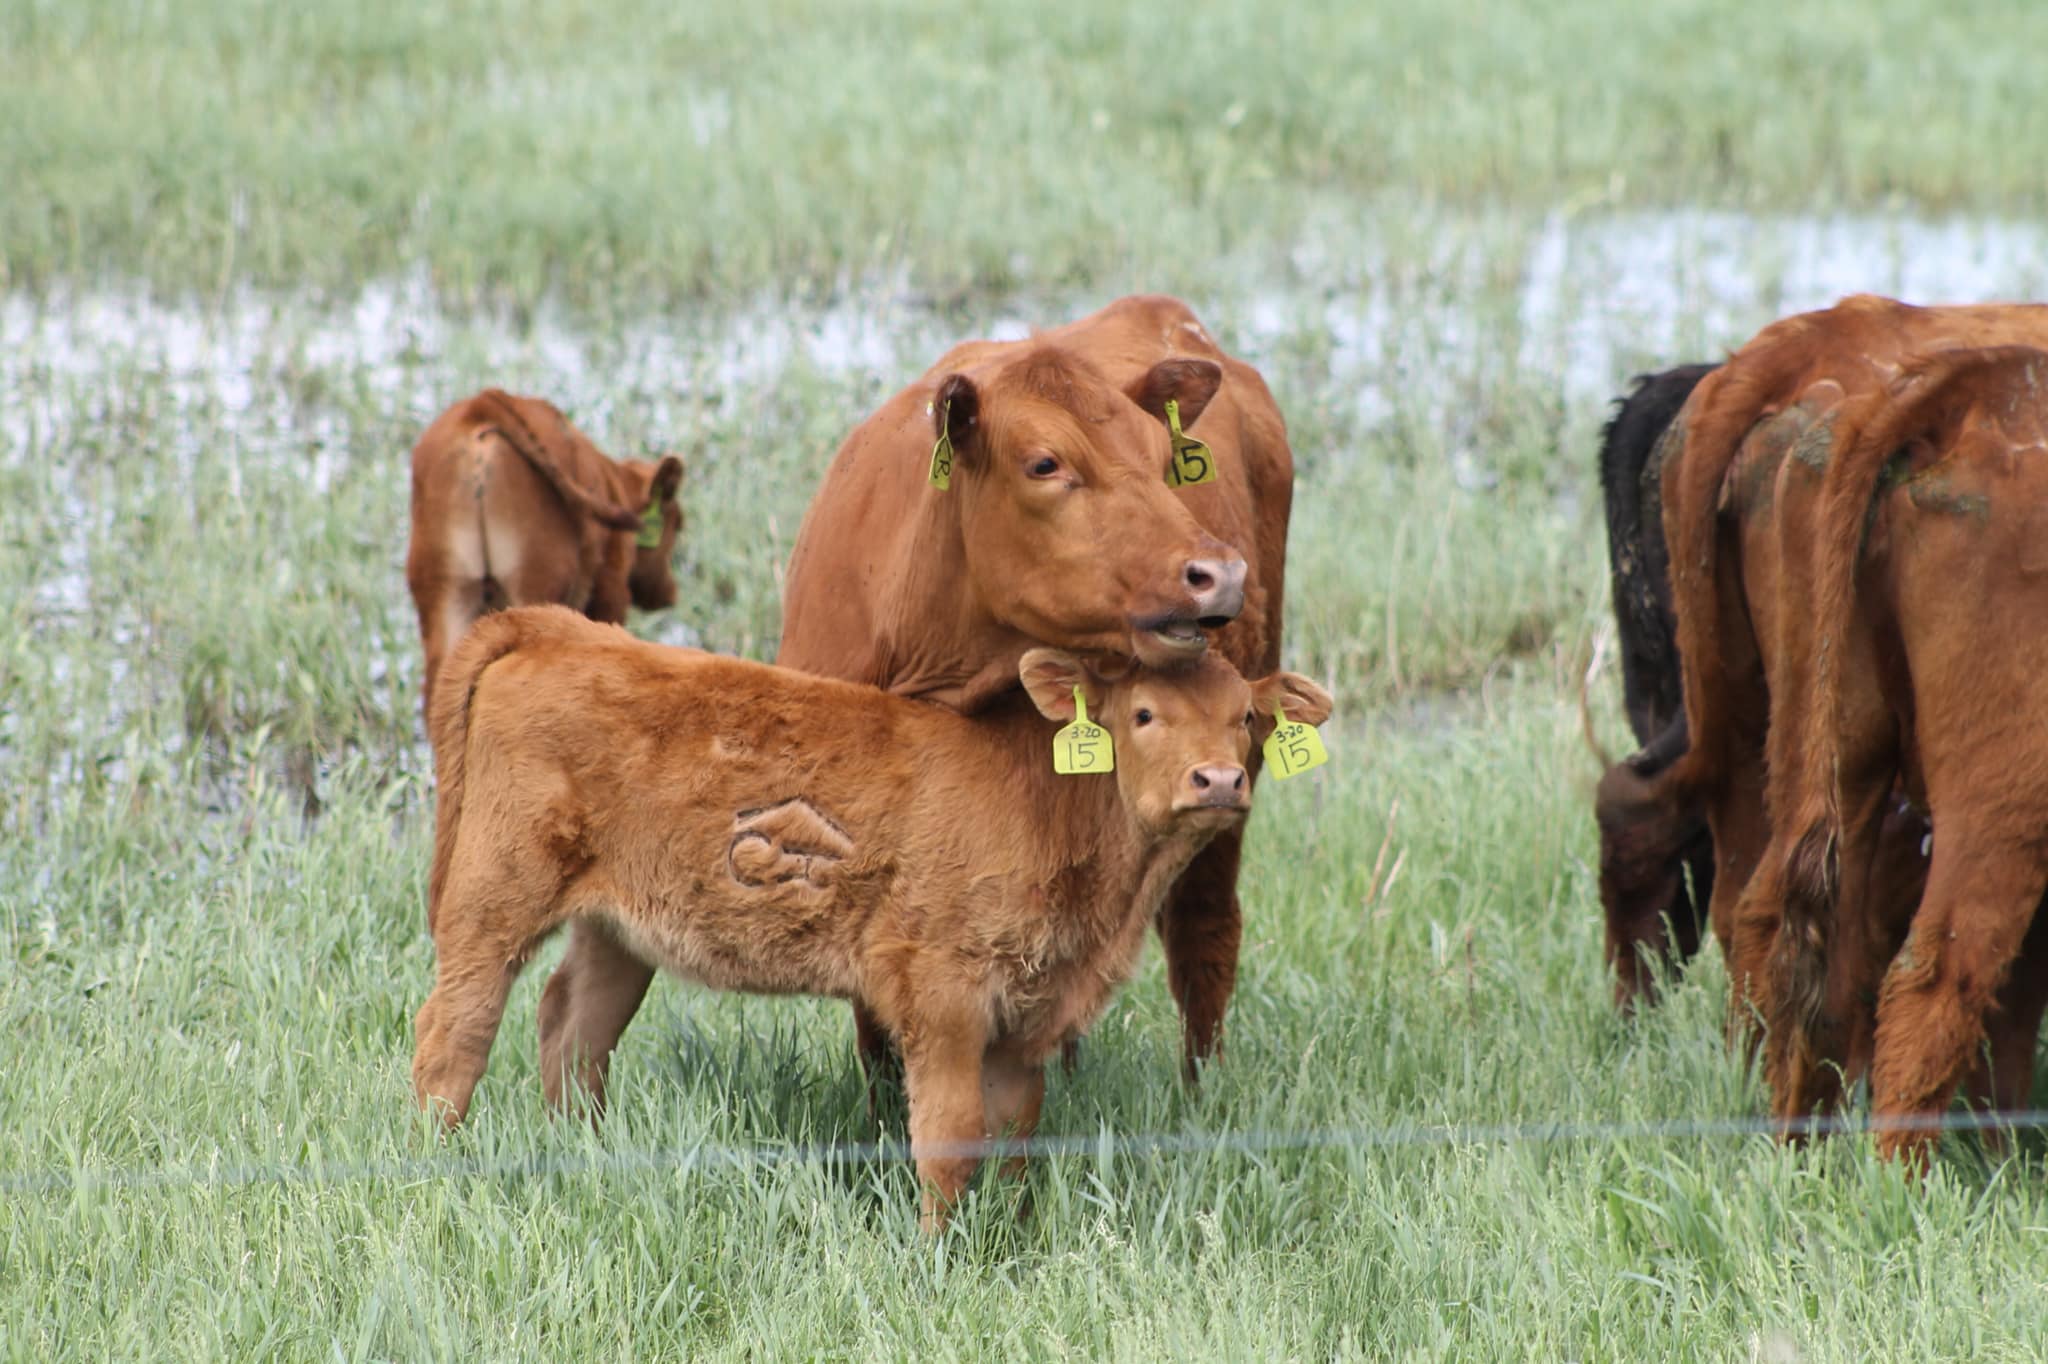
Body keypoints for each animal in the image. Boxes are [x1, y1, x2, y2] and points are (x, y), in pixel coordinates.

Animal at [404, 388, 686, 724]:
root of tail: (482, 404)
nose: (669, 593)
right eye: (677, 524)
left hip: (445, 596)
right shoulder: (611, 593)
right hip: (536, 586)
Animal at [410, 604, 1333, 1228]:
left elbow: (1017, 1136)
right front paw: (938, 1257)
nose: (1219, 780)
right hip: (494, 897)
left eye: (1246, 719)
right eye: (1143, 714)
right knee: (455, 1035)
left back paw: (585, 1152)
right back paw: (435, 1166)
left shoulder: (1028, 1013)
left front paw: (1009, 1236)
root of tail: (565, 632)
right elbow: (950, 1136)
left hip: (619, 925)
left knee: (575, 1025)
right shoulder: (942, 996)